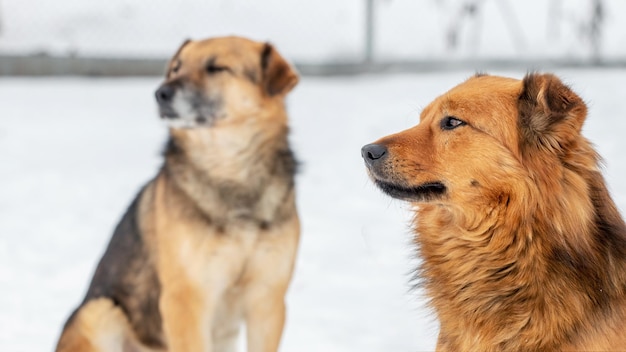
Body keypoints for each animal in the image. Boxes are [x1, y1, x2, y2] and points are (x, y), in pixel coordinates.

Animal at [54, 36, 298, 352]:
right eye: (175, 68)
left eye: (216, 68)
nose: (161, 93)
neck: (231, 172)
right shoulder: (186, 301)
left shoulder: (268, 301)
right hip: (99, 311)